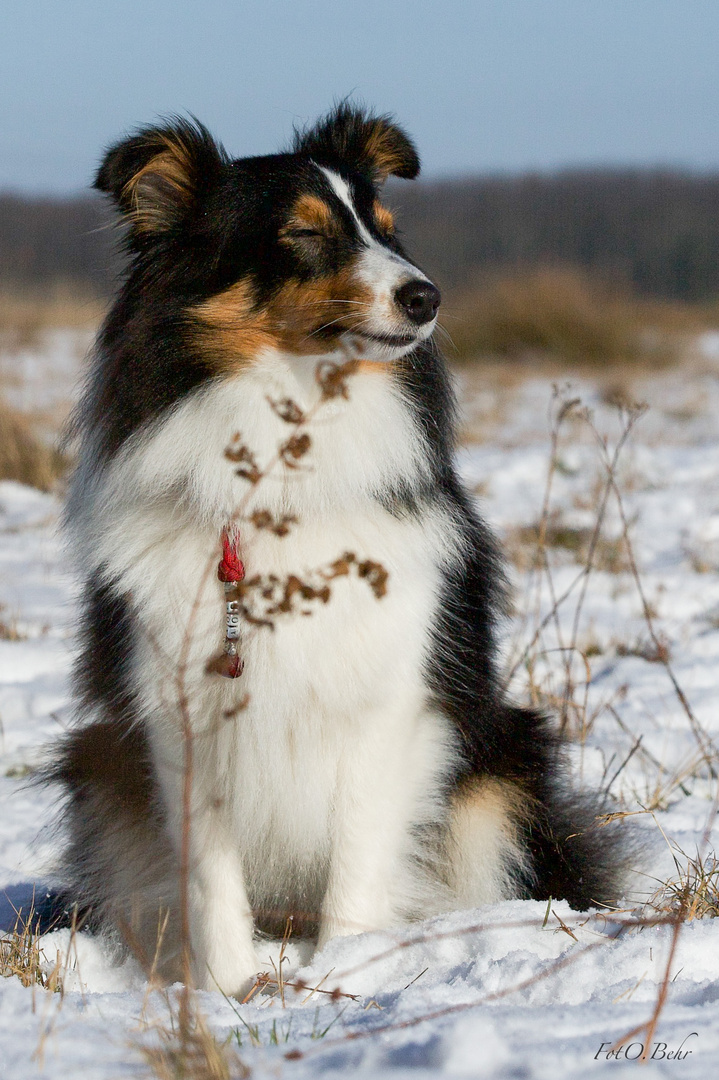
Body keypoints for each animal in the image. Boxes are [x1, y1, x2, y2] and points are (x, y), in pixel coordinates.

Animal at [49, 105, 621, 989]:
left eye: (385, 227)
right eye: (305, 234)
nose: (426, 296)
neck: (283, 483)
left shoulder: (388, 699)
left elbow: (357, 856)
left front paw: (345, 970)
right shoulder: (182, 716)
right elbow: (210, 881)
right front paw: (225, 991)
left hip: (503, 763)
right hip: (97, 769)